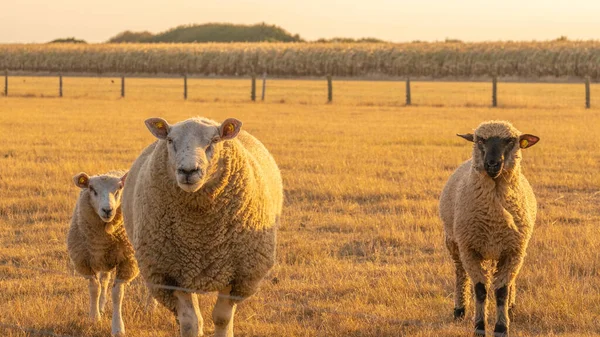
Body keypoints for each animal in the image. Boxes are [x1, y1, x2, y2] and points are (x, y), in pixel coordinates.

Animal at [67, 171, 139, 336]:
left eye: (119, 189)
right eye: (92, 189)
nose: (107, 210)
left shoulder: (127, 261)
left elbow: (117, 294)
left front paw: (118, 327)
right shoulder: (85, 261)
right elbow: (95, 288)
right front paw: (94, 318)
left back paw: (151, 306)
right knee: (104, 280)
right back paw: (101, 306)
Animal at [122, 116, 284, 336]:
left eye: (215, 140)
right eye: (170, 140)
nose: (188, 171)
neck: (200, 235)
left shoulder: (237, 273)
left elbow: (222, 318)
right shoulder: (171, 275)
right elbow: (190, 321)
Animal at [438, 121, 540, 336]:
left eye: (510, 140)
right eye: (480, 139)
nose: (492, 164)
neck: (494, 218)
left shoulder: (513, 251)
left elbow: (501, 291)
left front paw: (501, 327)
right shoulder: (470, 249)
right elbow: (480, 289)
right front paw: (479, 326)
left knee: (510, 281)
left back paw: (511, 307)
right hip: (454, 243)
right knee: (461, 274)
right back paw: (459, 309)